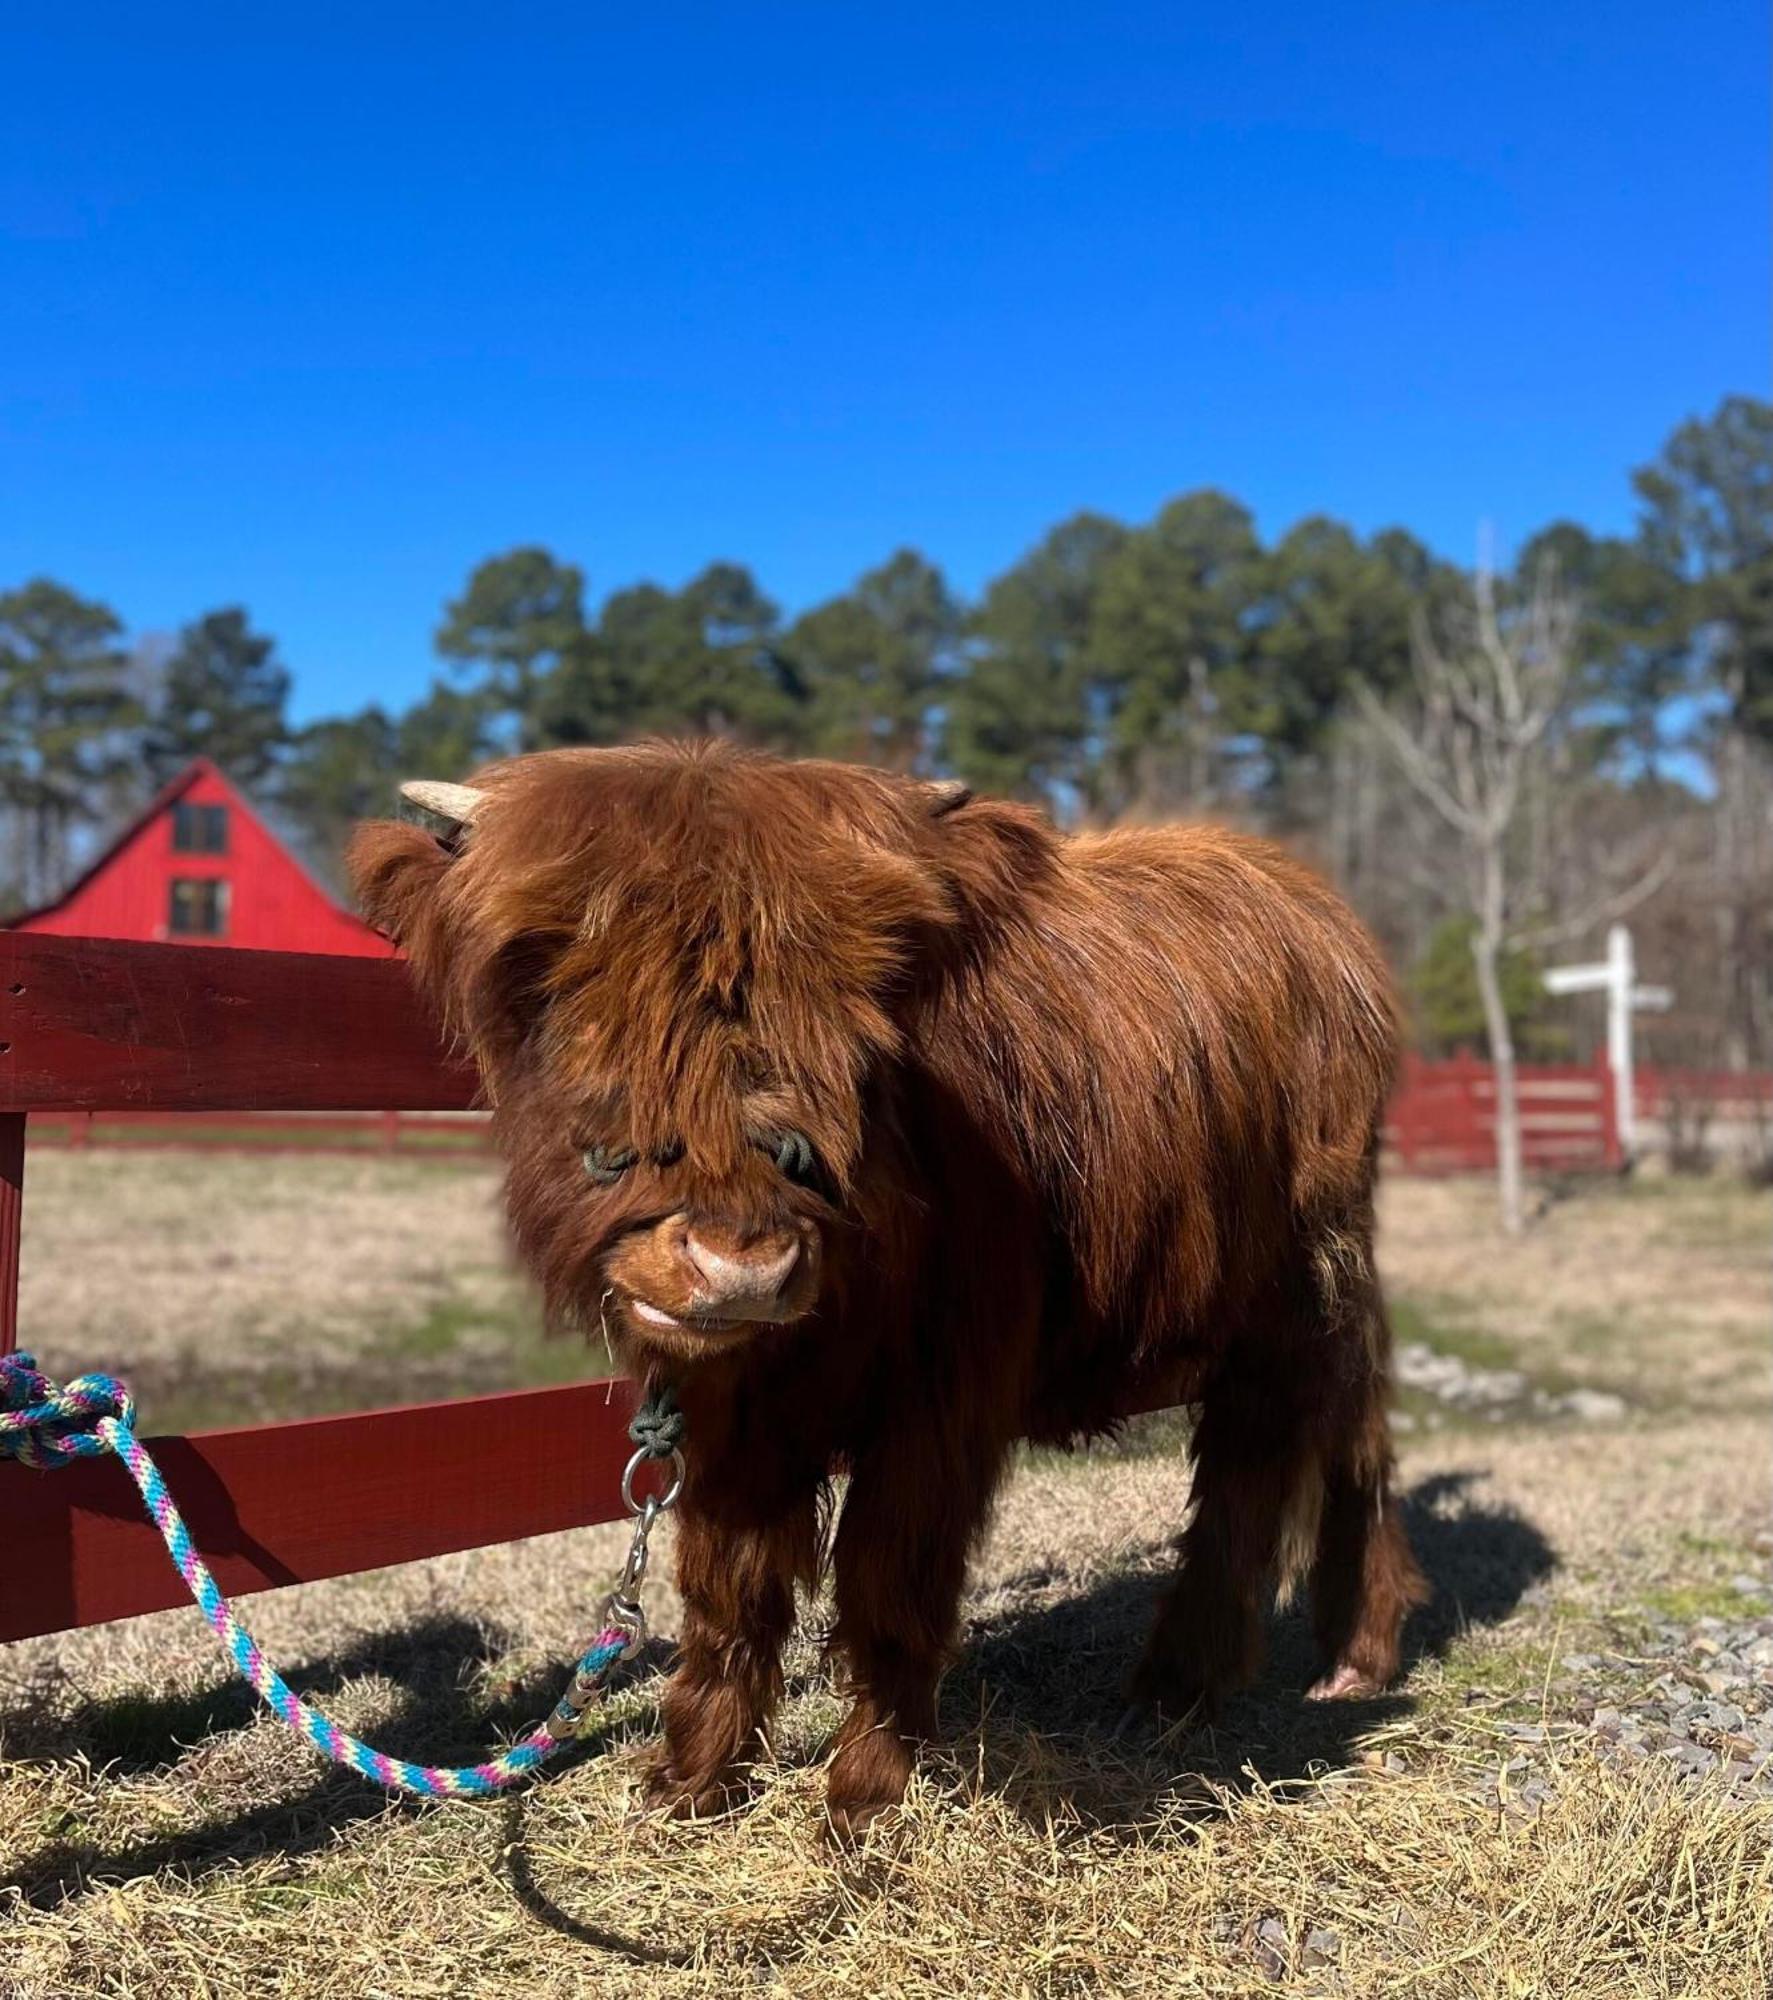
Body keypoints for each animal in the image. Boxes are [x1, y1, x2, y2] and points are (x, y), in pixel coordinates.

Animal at [346, 744, 1432, 1832]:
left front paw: (863, 1793)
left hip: (1298, 1286)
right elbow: (730, 1588)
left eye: (859, 1009)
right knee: (1339, 1432)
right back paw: (1327, 1655)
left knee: (1265, 1463)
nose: (742, 1263)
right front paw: (695, 1777)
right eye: (556, 986)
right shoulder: (732, 1414)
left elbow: (890, 1582)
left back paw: (1219, 1677)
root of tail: (1308, 901)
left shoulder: (941, 1396)